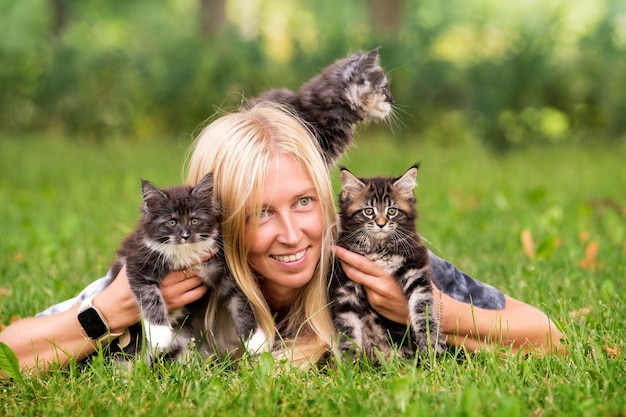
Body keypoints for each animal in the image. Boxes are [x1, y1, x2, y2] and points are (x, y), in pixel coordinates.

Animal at [109, 172, 260, 360]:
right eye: (172, 222)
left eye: (194, 220)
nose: (185, 236)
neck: (184, 253)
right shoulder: (138, 263)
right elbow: (149, 296)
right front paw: (160, 334)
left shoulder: (221, 269)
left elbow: (240, 302)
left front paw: (255, 340)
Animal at [332, 164, 444, 360]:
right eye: (369, 211)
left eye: (392, 211)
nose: (381, 224)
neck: (378, 247)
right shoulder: (344, 284)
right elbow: (348, 325)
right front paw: (349, 361)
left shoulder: (415, 268)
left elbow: (421, 307)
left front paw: (430, 341)